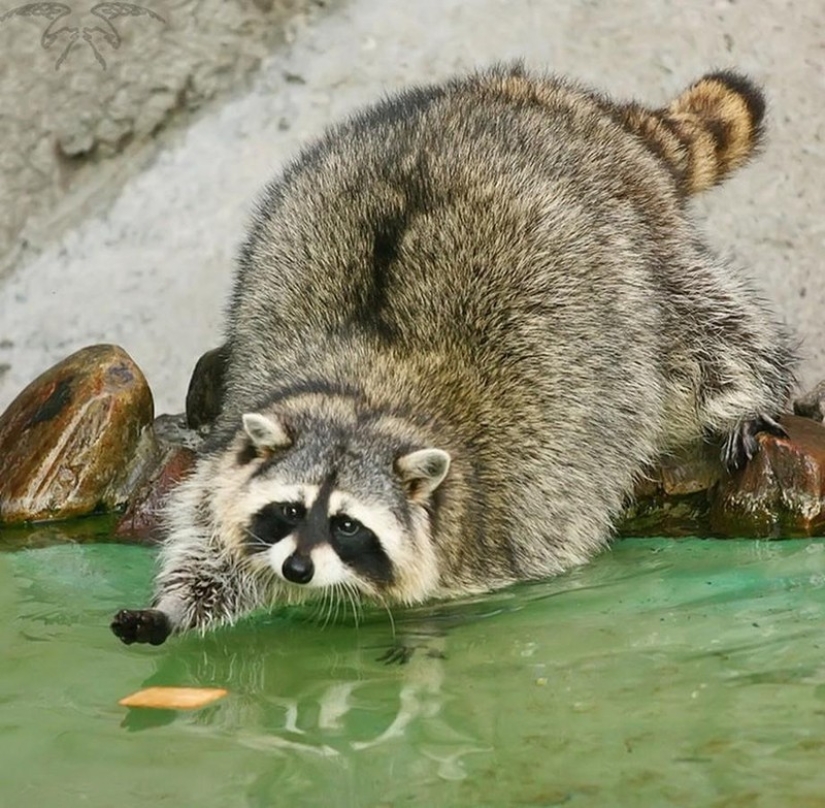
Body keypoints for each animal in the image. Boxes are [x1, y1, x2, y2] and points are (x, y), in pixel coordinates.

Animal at [112, 63, 796, 648]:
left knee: (701, 334)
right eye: (289, 510)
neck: (367, 395)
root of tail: (552, 98)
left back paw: (748, 389)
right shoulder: (232, 456)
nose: (299, 570)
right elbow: (213, 547)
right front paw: (176, 604)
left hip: (640, 248)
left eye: (348, 525)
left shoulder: (515, 512)